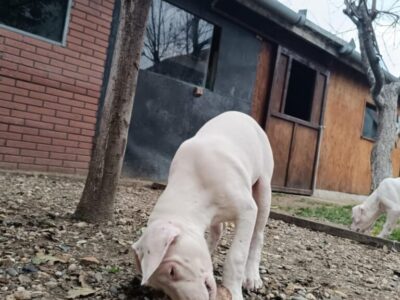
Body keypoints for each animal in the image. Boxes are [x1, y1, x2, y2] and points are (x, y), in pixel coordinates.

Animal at [133, 111, 274, 298]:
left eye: (172, 271)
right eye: (162, 289)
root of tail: (242, 114)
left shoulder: (247, 211)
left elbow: (236, 257)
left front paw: (234, 292)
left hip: (264, 188)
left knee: (258, 235)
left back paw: (252, 277)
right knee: (217, 231)